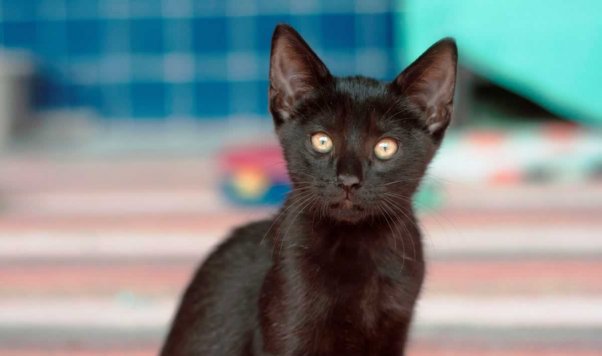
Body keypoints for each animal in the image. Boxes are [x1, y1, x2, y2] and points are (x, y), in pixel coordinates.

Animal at [161, 25, 454, 356]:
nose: (348, 180)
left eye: (385, 147)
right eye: (322, 141)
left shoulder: (394, 328)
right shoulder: (287, 324)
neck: (355, 246)